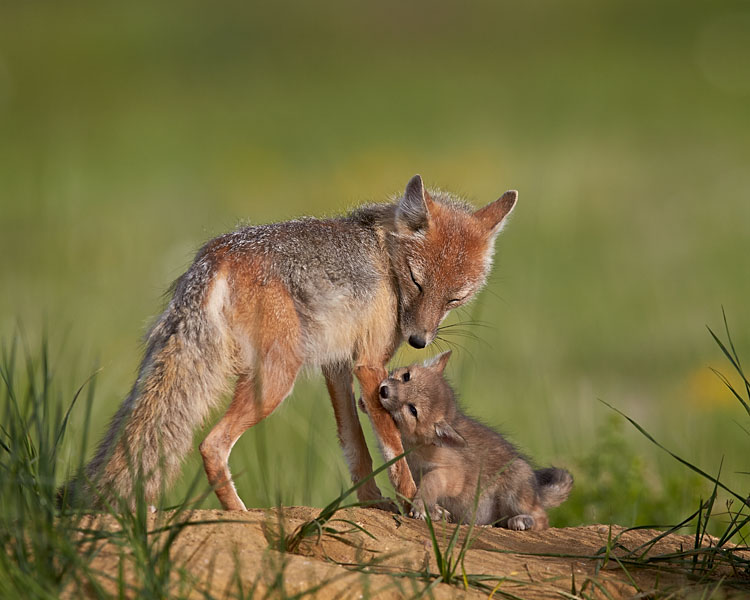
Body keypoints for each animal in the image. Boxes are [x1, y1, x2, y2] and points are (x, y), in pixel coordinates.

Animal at [63, 174, 518, 512]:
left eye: (455, 298)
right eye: (417, 282)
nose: (419, 341)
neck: (384, 257)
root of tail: (217, 252)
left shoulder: (338, 366)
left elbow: (355, 446)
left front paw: (371, 502)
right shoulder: (370, 366)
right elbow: (392, 448)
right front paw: (412, 502)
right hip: (278, 379)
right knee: (211, 445)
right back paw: (241, 515)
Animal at [376, 350, 573, 529]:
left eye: (413, 410)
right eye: (406, 376)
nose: (383, 390)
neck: (417, 444)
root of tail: (538, 492)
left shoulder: (453, 475)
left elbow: (429, 483)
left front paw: (421, 506)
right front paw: (436, 512)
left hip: (514, 491)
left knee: (542, 518)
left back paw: (522, 521)